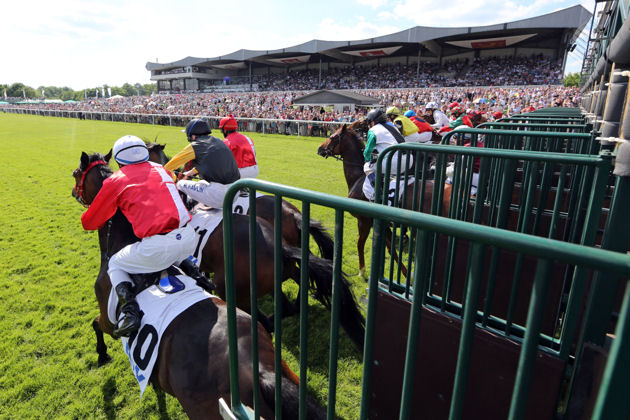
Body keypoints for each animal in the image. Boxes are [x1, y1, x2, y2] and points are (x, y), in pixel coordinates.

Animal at [72, 152, 328, 420]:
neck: (123, 240)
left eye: (76, 174)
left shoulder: (109, 319)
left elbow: (96, 324)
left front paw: (102, 354)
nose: (73, 192)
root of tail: (259, 371)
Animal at [318, 122, 452, 278]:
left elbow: (360, 244)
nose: (320, 148)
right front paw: (405, 272)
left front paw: (362, 271)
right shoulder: (383, 223)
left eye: (332, 137)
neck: (358, 178)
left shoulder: (364, 220)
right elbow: (390, 249)